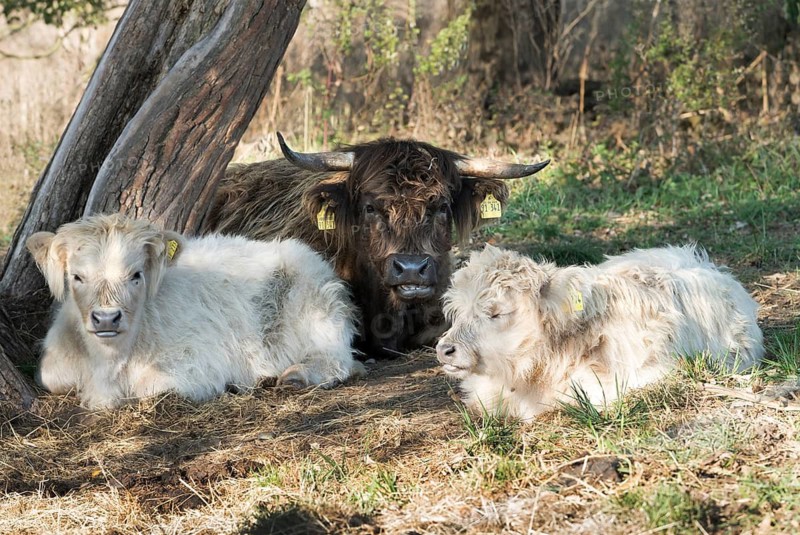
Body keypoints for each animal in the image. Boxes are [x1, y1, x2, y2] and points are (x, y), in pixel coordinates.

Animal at [26, 214, 361, 409]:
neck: (109, 361)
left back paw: (295, 376)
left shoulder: (195, 365)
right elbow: (49, 378)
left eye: (136, 275)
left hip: (318, 312)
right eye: (77, 276)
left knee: (339, 360)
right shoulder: (54, 367)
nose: (107, 318)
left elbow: (149, 387)